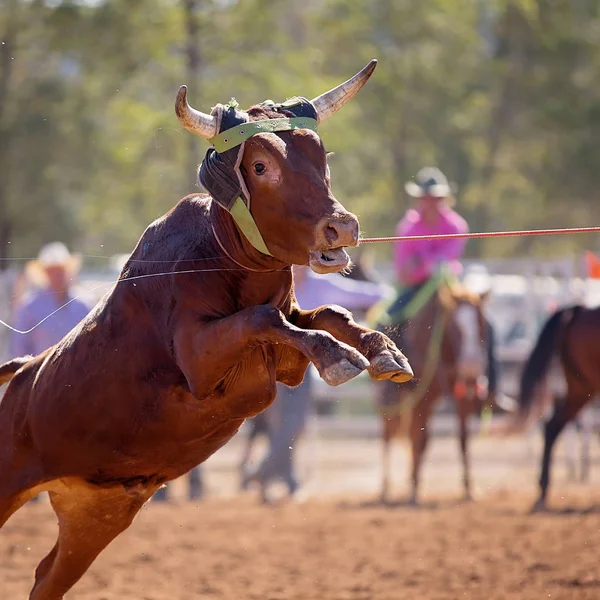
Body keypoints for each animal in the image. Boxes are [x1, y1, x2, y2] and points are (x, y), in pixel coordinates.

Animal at [0, 62, 412, 600]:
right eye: (259, 166)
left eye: (321, 156)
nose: (341, 227)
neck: (219, 253)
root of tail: (22, 376)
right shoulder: (200, 363)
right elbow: (264, 319)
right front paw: (338, 357)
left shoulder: (285, 361)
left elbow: (326, 315)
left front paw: (383, 351)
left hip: (97, 514)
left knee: (47, 578)